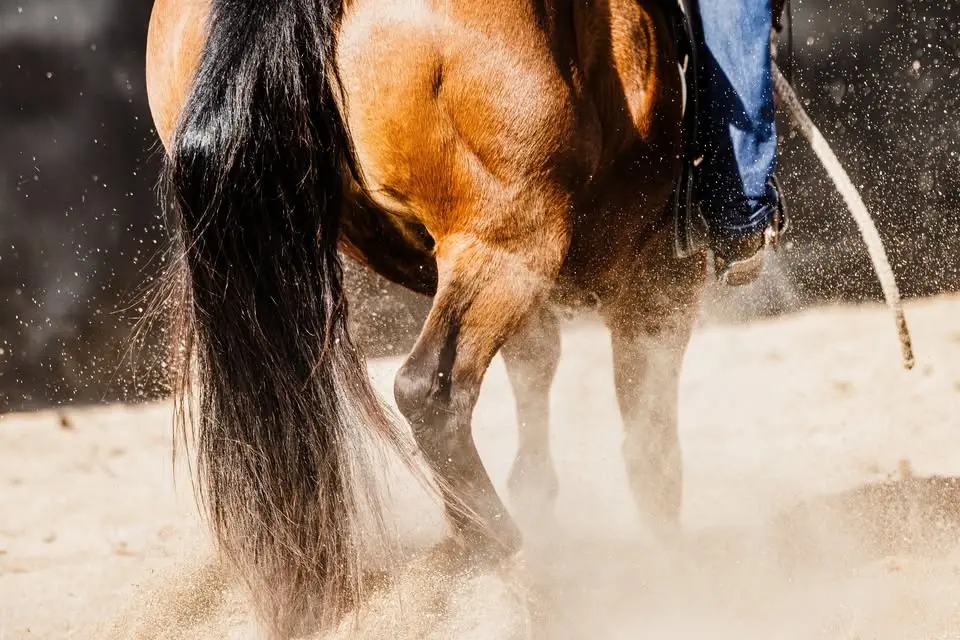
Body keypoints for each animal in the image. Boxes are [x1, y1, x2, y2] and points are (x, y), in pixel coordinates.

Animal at [146, 0, 711, 635]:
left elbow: (537, 385)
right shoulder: (658, 280)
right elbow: (652, 452)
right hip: (506, 244)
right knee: (431, 393)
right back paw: (499, 552)